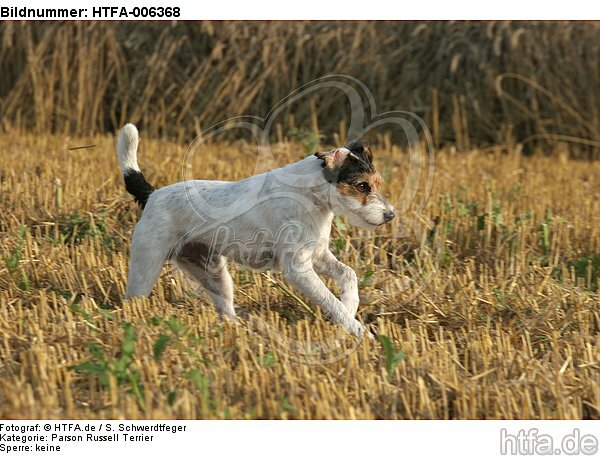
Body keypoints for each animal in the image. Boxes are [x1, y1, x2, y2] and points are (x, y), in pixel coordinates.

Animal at [116, 123, 394, 336]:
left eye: (377, 183)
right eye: (362, 186)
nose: (390, 215)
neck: (309, 195)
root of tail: (152, 195)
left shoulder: (317, 254)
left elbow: (348, 274)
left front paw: (351, 304)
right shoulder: (298, 269)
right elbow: (330, 301)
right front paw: (355, 328)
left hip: (214, 274)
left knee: (226, 313)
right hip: (145, 269)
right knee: (133, 302)